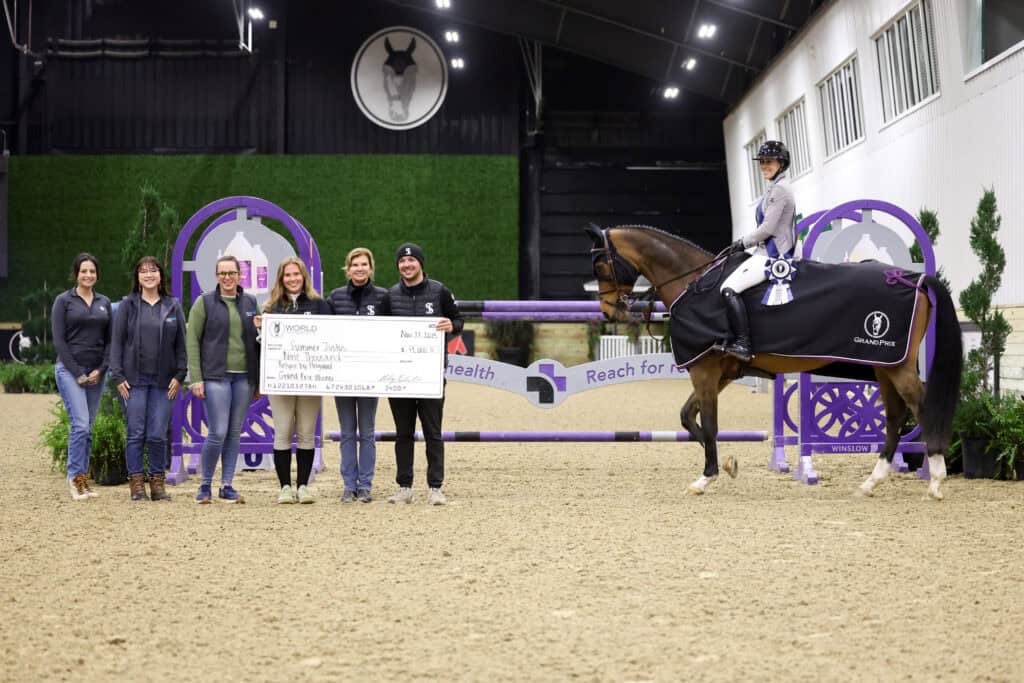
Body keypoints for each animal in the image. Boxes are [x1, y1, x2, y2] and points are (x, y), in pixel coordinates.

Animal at [586, 224, 963, 500]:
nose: (609, 312)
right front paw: (729, 465)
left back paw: (935, 479)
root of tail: (912, 278)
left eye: (601, 265)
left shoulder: (705, 372)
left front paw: (706, 477)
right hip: (884, 366)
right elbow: (687, 417)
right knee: (896, 414)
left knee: (920, 406)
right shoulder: (721, 373)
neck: (694, 284)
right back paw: (873, 481)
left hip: (895, 365)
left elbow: (709, 424)